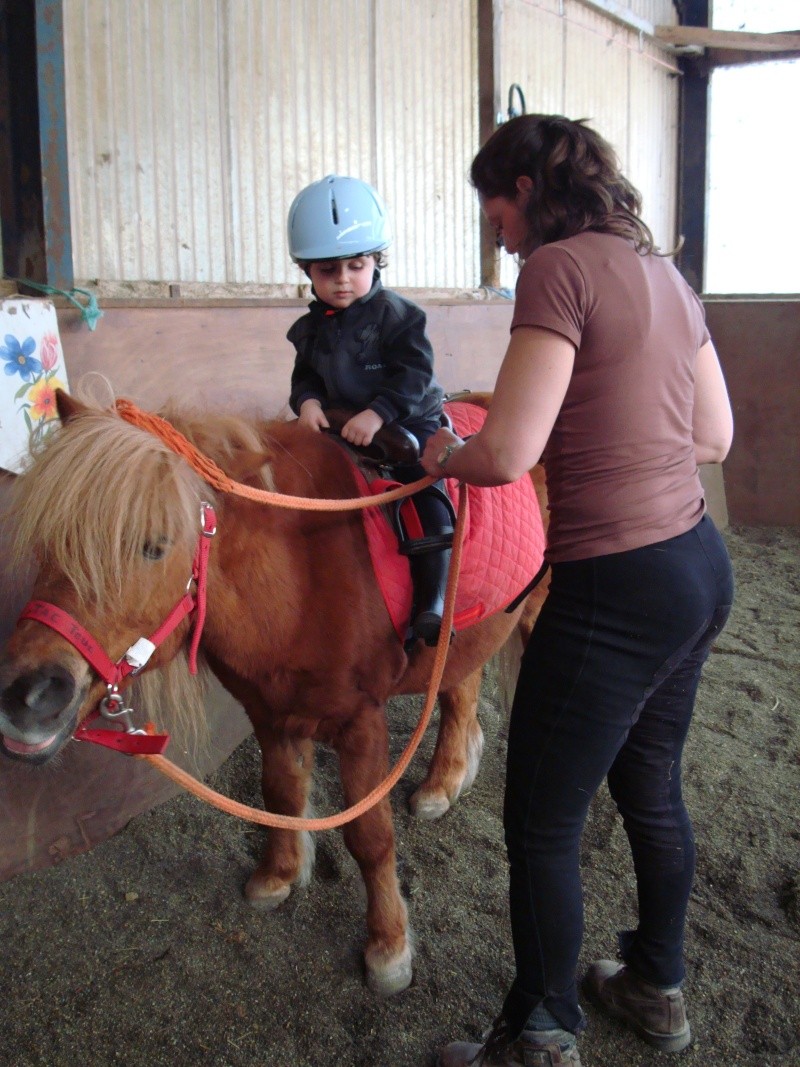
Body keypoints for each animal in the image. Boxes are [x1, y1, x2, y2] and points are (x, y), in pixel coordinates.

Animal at [0, 390, 550, 990]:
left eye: (154, 547)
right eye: (51, 539)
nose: (27, 698)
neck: (300, 577)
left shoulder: (361, 724)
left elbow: (370, 836)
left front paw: (388, 947)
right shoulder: (270, 712)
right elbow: (281, 795)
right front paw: (278, 876)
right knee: (460, 691)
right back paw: (443, 782)